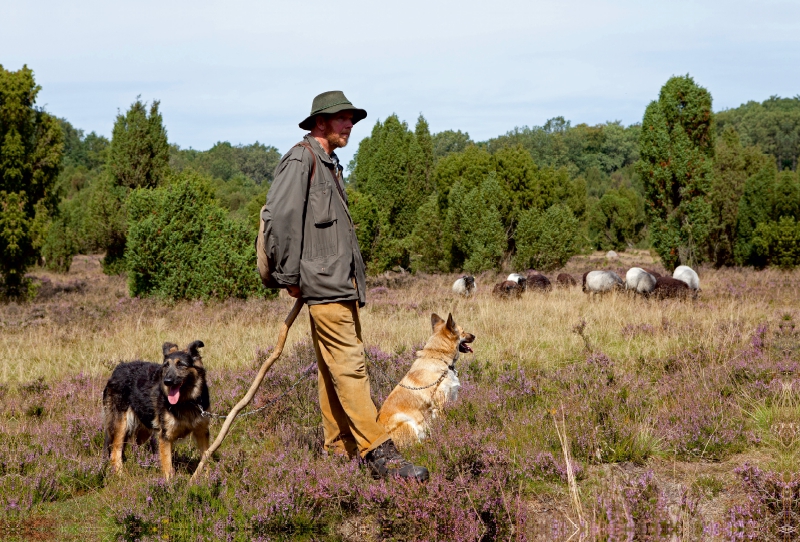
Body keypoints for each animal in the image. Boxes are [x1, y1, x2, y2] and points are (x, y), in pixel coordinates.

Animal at [102, 342, 209, 478]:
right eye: (166, 365)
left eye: (180, 365)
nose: (167, 381)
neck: (187, 401)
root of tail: (118, 368)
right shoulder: (165, 437)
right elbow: (167, 466)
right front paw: (170, 483)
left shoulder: (202, 432)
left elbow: (206, 457)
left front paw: (206, 479)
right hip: (122, 426)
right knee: (115, 452)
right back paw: (120, 475)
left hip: (144, 430)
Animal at [376, 312, 472, 448]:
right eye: (463, 331)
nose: (474, 336)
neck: (439, 356)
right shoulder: (440, 404)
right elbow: (446, 424)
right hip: (404, 420)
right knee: (415, 446)